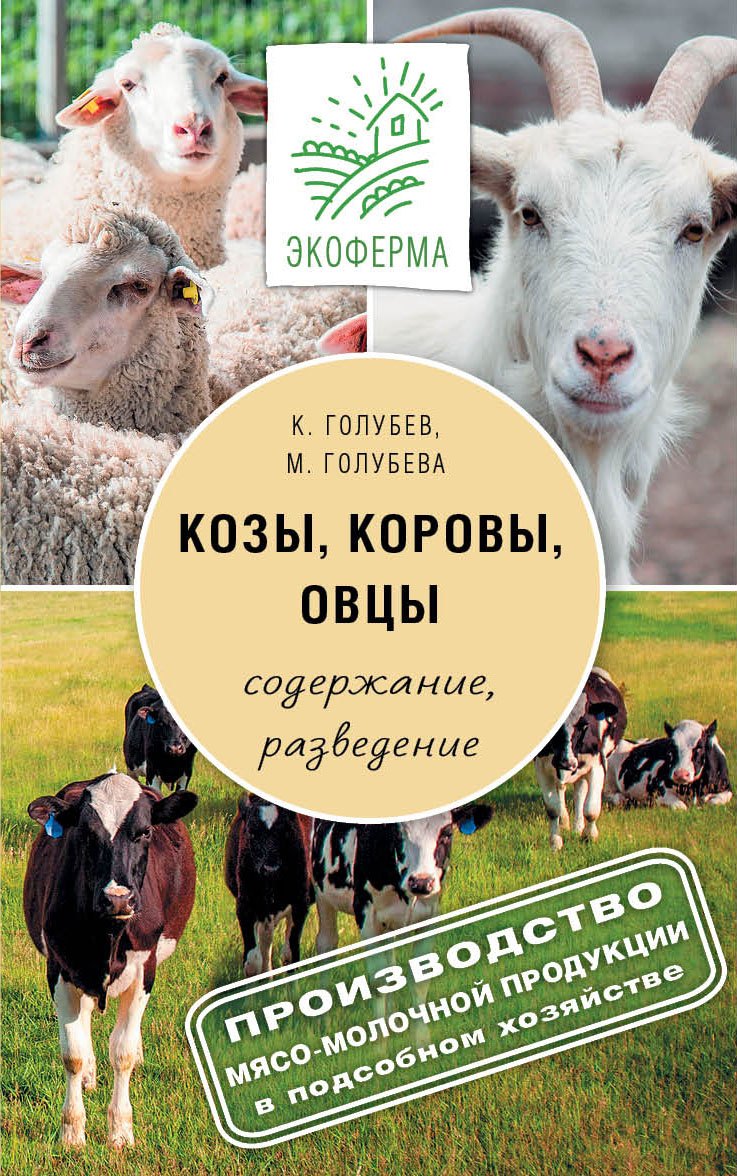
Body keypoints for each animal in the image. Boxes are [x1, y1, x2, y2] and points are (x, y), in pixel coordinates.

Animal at [23, 771, 197, 1149]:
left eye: (145, 832)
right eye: (85, 834)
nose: (117, 899)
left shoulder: (145, 970)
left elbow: (123, 1052)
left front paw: (120, 1130)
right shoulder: (59, 968)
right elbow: (72, 1053)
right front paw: (72, 1132)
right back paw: (90, 1072)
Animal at [224, 793, 313, 976]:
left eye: (287, 831)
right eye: (251, 833)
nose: (270, 869)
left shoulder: (301, 903)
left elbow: (291, 954)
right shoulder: (245, 906)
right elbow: (252, 962)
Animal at [311, 804, 493, 953]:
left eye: (447, 834)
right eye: (398, 834)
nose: (421, 882)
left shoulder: (430, 915)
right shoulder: (365, 912)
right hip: (321, 894)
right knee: (326, 942)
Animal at [535, 667, 627, 850]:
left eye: (584, 725)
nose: (565, 761)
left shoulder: (598, 765)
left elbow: (591, 809)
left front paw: (589, 836)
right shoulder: (541, 767)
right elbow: (553, 808)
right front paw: (555, 842)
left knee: (580, 794)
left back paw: (578, 827)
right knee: (563, 789)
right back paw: (565, 822)